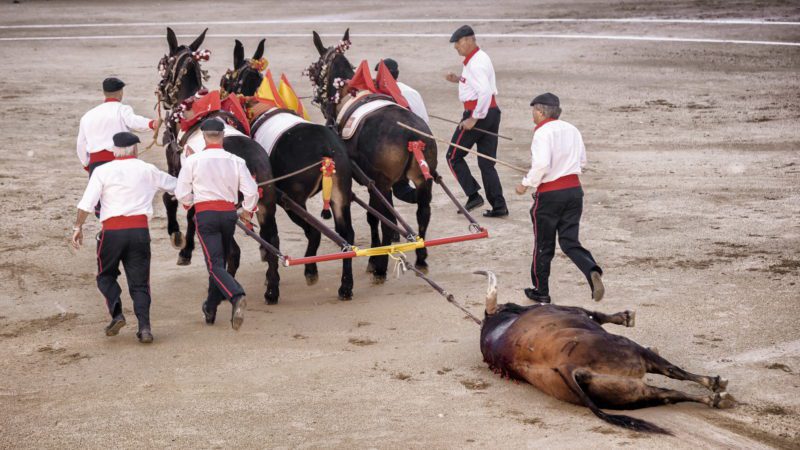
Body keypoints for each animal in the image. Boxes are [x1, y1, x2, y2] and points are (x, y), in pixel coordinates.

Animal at [478, 270, 736, 432]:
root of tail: (566, 366)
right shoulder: (579, 312)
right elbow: (597, 314)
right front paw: (626, 316)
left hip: (632, 393)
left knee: (670, 394)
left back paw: (719, 399)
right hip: (632, 352)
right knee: (673, 372)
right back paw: (717, 388)